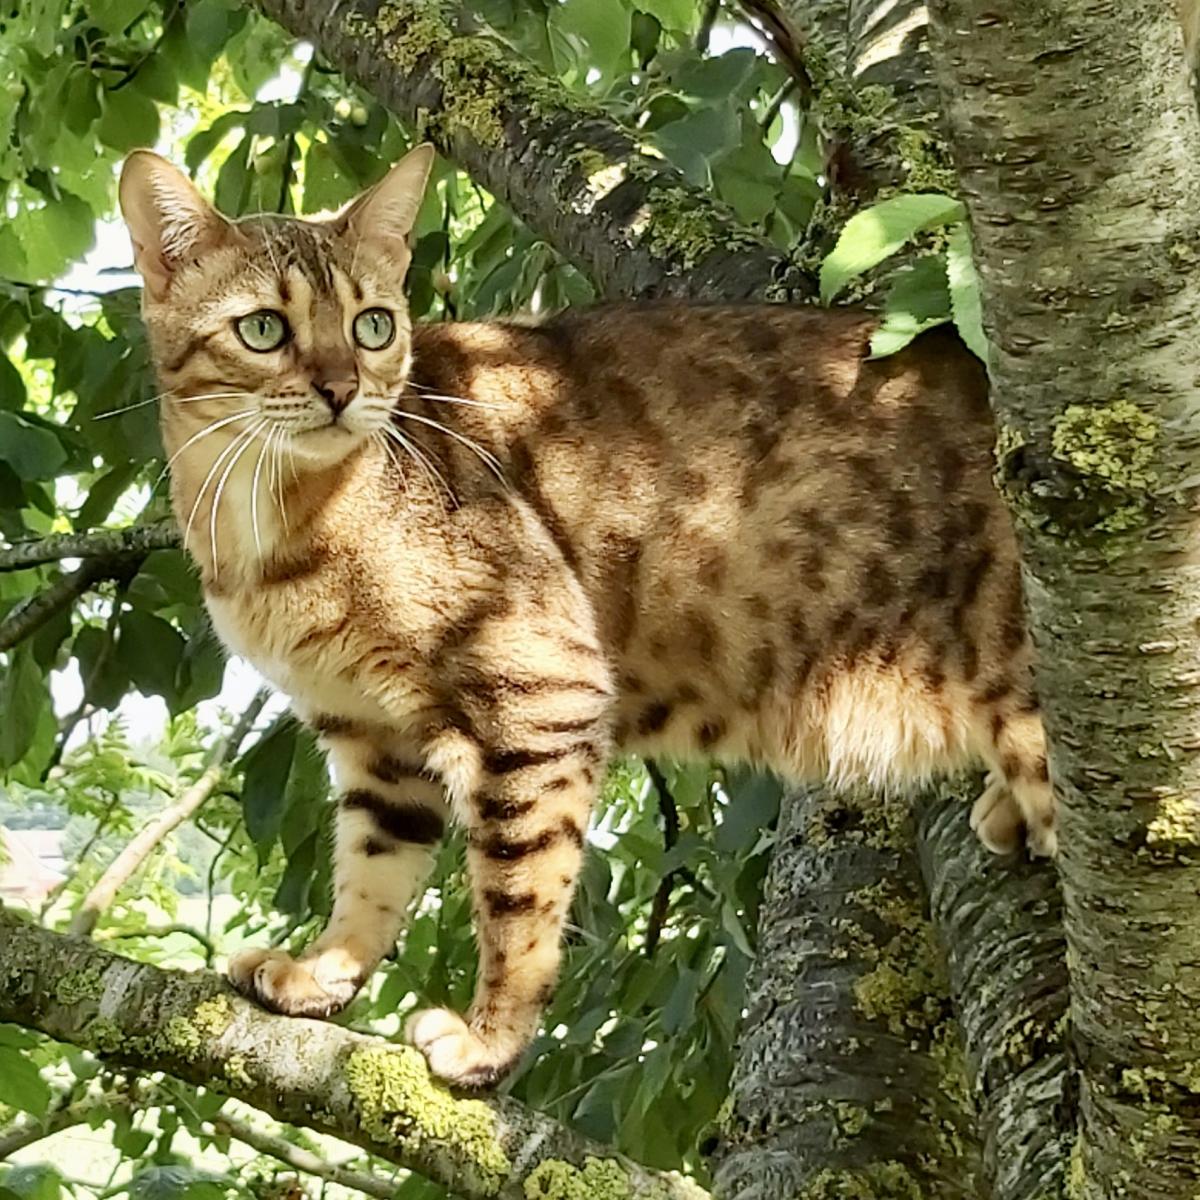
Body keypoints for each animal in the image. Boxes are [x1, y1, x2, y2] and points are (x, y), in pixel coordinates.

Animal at [117, 142, 1056, 1089]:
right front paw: (322, 973)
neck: (262, 525)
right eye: (264, 330)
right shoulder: (371, 735)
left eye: (372, 326)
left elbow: (519, 898)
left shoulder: (539, 693)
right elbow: (372, 874)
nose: (343, 388)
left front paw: (491, 1040)